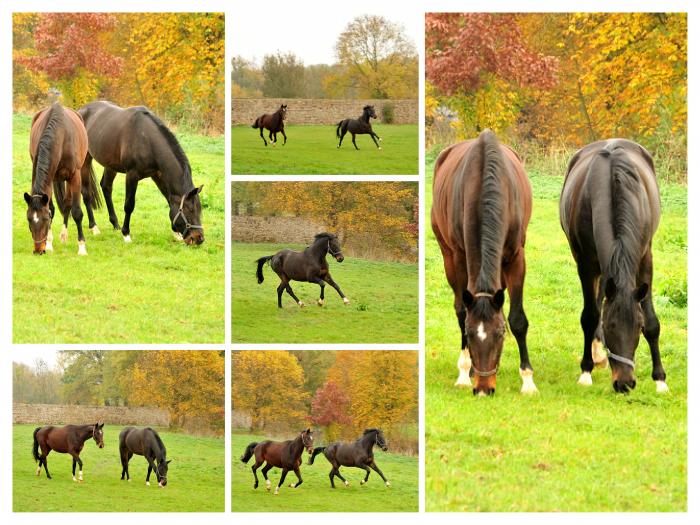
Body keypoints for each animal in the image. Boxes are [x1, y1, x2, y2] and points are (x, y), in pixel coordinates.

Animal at [23, 102, 100, 254]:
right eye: (29, 219)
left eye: (45, 219)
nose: (38, 250)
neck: (60, 135)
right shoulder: (48, 177)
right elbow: (52, 208)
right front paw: (49, 243)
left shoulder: (74, 176)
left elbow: (76, 212)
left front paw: (82, 246)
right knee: (65, 203)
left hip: (80, 171)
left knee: (76, 199)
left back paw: (87, 229)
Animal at [79, 101, 206, 245]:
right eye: (189, 209)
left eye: (199, 209)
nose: (199, 238)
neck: (147, 139)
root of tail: (80, 111)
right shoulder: (132, 175)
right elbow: (129, 205)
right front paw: (126, 234)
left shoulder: (157, 175)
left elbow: (169, 200)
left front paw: (176, 234)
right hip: (85, 160)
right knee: (86, 193)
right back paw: (94, 227)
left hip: (110, 164)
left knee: (106, 187)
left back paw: (115, 224)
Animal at [432, 129, 536, 396]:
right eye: (470, 335)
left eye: (499, 334)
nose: (483, 389)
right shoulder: (460, 258)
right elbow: (462, 312)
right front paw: (464, 372)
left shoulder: (516, 258)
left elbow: (517, 319)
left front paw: (528, 380)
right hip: (448, 257)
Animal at [556, 139, 668, 392]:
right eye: (610, 327)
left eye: (638, 327)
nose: (625, 383)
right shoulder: (585, 264)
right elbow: (590, 316)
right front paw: (586, 370)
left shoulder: (645, 260)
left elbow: (653, 322)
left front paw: (660, 379)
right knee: (596, 304)